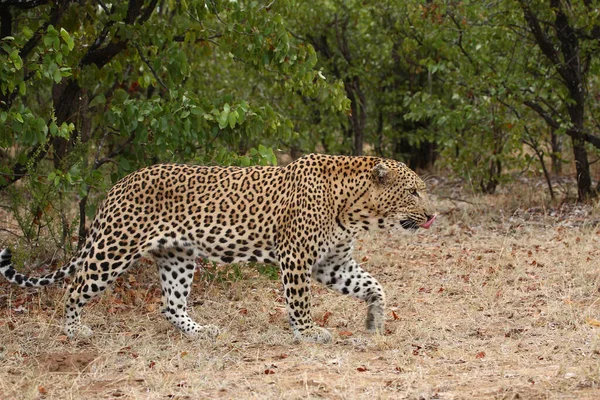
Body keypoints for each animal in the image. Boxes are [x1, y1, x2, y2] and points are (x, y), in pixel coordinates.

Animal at [0, 154, 434, 344]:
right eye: (413, 192)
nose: (433, 215)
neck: (356, 208)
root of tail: (119, 183)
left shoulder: (332, 263)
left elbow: (375, 287)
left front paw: (374, 321)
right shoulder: (297, 258)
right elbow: (300, 302)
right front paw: (308, 333)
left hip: (177, 256)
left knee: (170, 304)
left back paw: (200, 331)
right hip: (115, 247)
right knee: (74, 288)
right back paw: (75, 331)